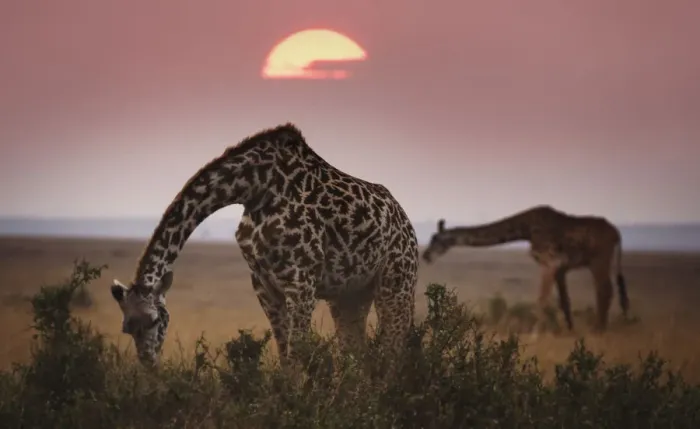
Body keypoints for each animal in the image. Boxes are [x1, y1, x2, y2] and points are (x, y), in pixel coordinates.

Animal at [110, 123, 419, 367]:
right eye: (126, 328)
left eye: (154, 320)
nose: (149, 363)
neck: (255, 189)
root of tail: (407, 225)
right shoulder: (263, 284)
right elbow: (285, 356)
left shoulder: (301, 282)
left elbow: (298, 354)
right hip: (350, 295)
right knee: (356, 352)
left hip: (396, 284)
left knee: (393, 348)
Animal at [421, 205, 629, 336]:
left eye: (436, 239)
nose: (425, 256)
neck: (526, 229)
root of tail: (617, 234)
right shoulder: (560, 268)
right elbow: (564, 300)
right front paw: (569, 331)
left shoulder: (548, 261)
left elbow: (542, 299)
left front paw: (535, 334)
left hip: (599, 260)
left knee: (604, 289)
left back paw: (599, 329)